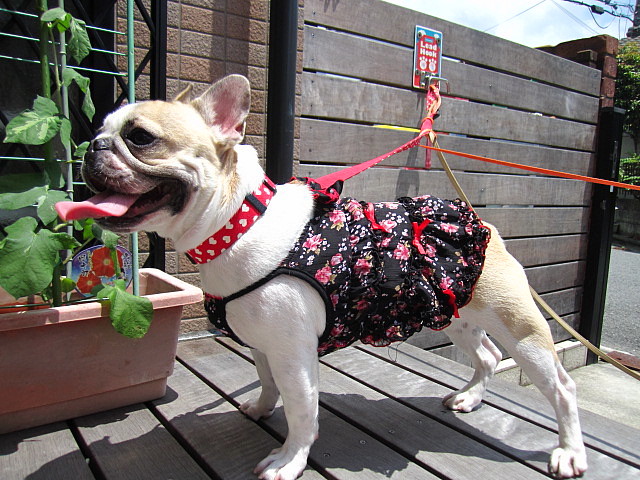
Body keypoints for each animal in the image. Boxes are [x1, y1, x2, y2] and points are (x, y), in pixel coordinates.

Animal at [57, 75, 588, 479]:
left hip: (520, 328)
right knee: (487, 356)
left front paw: (289, 459)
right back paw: (470, 397)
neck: (237, 224)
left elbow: (302, 410)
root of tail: (483, 224)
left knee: (561, 387)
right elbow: (266, 383)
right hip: (454, 311)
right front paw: (260, 409)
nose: (92, 146)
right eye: (102, 128)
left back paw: (569, 452)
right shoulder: (264, 343)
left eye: (140, 137)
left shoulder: (294, 354)